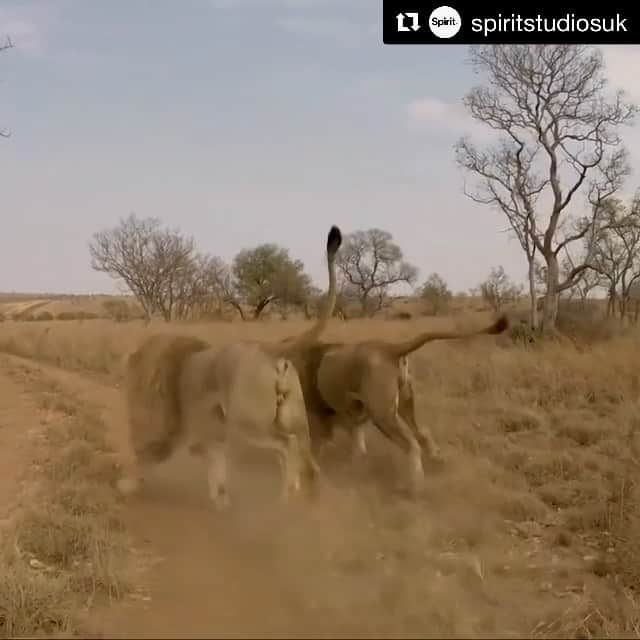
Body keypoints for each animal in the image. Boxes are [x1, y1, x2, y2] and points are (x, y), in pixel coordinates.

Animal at [282, 312, 508, 492]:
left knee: (412, 444)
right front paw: (354, 469)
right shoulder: (351, 416)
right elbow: (357, 446)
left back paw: (414, 487)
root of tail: (390, 349)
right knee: (423, 432)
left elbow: (316, 446)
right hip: (405, 404)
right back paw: (438, 462)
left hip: (383, 414)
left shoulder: (318, 416)